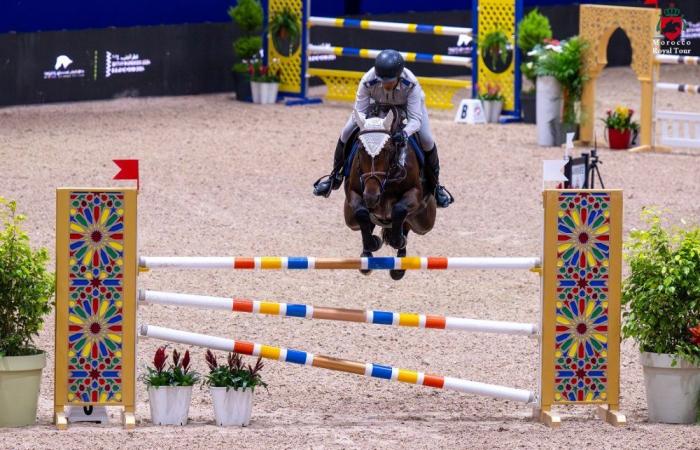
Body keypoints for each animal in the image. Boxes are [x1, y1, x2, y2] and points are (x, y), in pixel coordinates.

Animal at [344, 107, 434, 280]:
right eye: (360, 149)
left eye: (387, 150)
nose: (371, 197)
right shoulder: (354, 194)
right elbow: (362, 213)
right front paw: (373, 243)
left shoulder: (415, 193)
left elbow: (399, 210)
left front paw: (398, 241)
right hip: (350, 219)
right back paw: (367, 257)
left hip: (424, 222)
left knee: (406, 224)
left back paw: (399, 266)